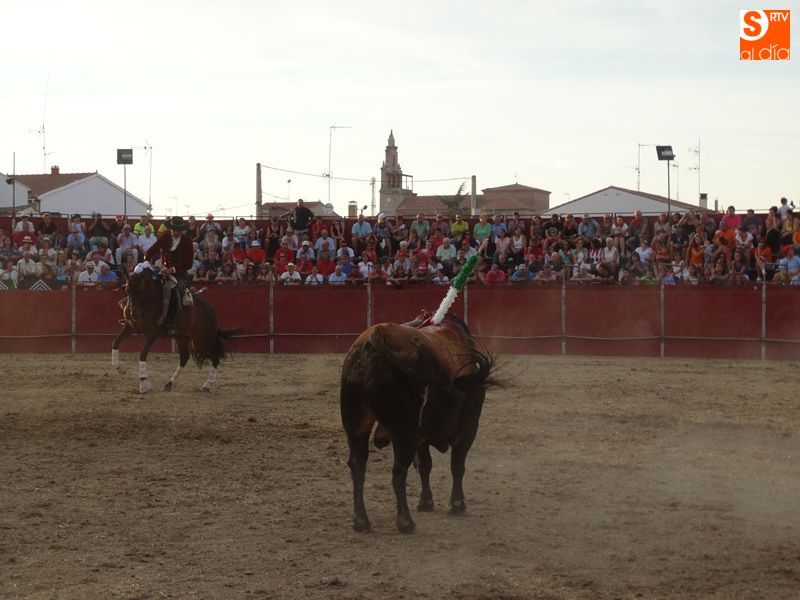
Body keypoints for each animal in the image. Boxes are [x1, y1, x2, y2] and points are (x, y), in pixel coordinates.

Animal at [111, 265, 231, 393]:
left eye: (139, 291)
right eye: (127, 290)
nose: (133, 313)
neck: (148, 301)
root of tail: (211, 310)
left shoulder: (154, 331)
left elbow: (143, 353)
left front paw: (143, 383)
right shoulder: (131, 327)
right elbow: (116, 342)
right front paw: (120, 368)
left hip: (200, 340)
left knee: (214, 356)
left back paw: (207, 385)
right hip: (182, 337)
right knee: (184, 357)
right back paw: (169, 384)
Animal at [340, 313, 493, 533]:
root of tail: (376, 336)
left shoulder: (421, 435)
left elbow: (424, 465)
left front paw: (426, 502)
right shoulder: (468, 427)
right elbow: (457, 465)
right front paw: (458, 504)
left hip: (356, 423)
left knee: (357, 464)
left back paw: (361, 521)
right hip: (404, 429)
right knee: (398, 470)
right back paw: (405, 522)